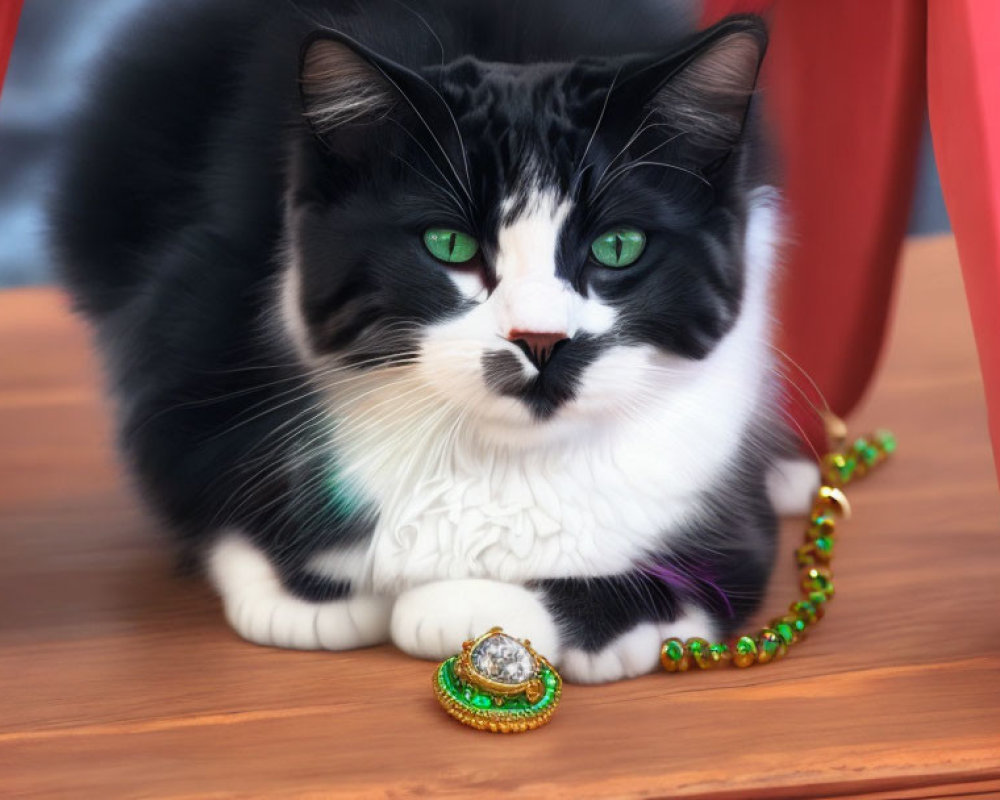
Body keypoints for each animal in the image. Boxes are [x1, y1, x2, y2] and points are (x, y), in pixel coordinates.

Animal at [50, 1, 816, 688]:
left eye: (618, 247)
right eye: (448, 245)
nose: (541, 339)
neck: (500, 460)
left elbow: (696, 571)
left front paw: (476, 607)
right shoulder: (195, 341)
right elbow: (221, 497)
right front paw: (315, 595)